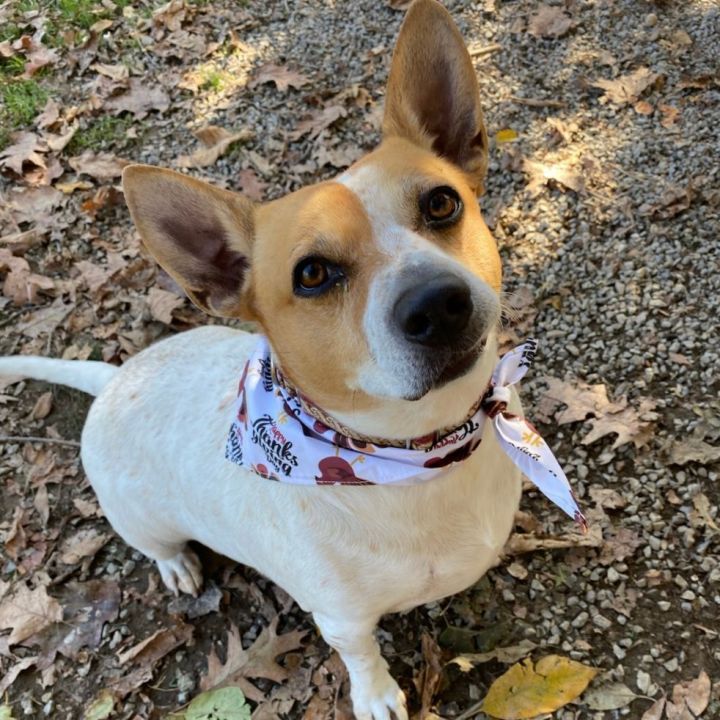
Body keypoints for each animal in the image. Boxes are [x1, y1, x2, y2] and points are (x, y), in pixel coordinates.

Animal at [0, 2, 544, 716]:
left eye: (441, 203)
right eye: (312, 274)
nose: (438, 303)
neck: (422, 455)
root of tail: (115, 378)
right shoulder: (342, 619)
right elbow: (362, 656)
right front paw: (379, 695)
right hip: (140, 520)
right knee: (156, 546)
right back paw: (177, 564)